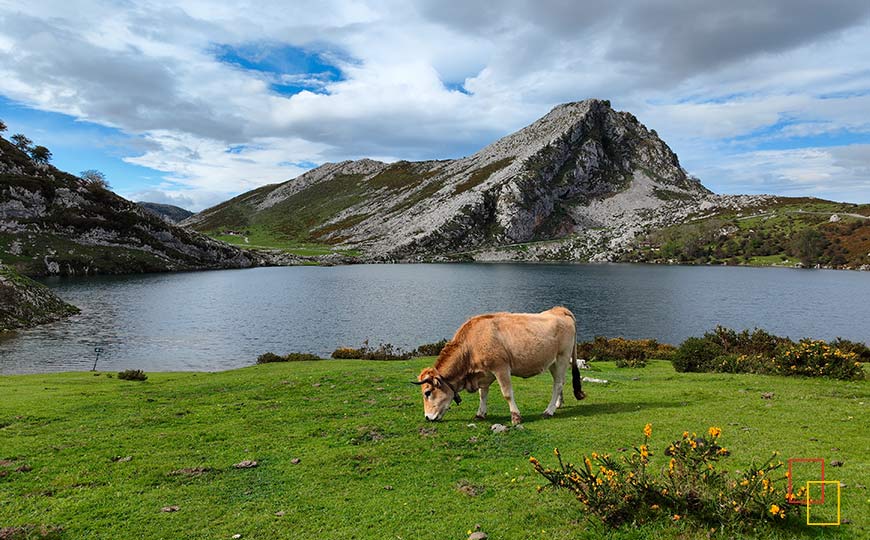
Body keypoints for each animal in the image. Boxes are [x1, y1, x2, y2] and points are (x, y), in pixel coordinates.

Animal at [414, 306, 584, 424]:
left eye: (427, 392)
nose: (427, 417)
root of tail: (559, 309)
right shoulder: (483, 373)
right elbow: (483, 394)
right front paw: (480, 414)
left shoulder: (501, 367)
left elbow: (507, 393)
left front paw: (516, 417)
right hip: (553, 362)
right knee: (560, 382)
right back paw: (558, 404)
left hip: (562, 357)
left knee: (558, 384)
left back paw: (549, 410)